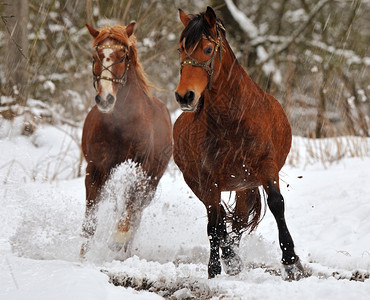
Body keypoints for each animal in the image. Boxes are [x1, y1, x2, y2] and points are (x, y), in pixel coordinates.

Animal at [81, 22, 172, 258]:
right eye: (95, 57)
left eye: (122, 58)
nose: (105, 99)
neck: (121, 125)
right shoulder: (96, 169)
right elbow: (89, 222)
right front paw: (82, 256)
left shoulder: (140, 169)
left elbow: (129, 212)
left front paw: (117, 241)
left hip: (152, 180)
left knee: (136, 213)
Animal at [173, 6, 304, 278]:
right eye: (180, 49)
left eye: (208, 49)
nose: (184, 96)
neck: (232, 119)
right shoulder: (208, 178)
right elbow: (214, 223)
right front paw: (213, 269)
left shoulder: (266, 167)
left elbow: (277, 204)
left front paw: (291, 262)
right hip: (200, 184)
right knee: (219, 217)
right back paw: (230, 258)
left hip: (245, 185)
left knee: (239, 219)